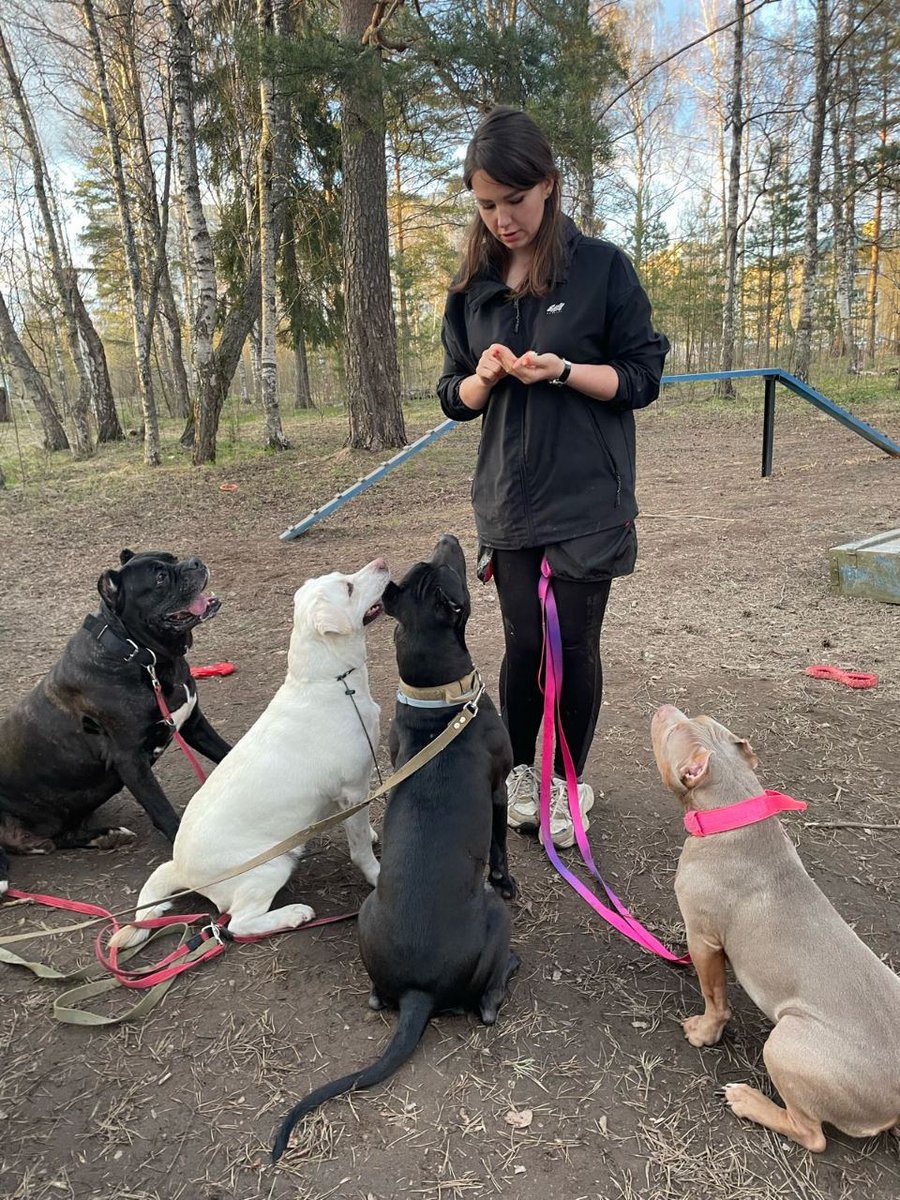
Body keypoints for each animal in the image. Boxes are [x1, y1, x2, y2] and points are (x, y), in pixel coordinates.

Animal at [0, 549, 232, 892]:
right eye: (160, 577)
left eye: (173, 558)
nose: (195, 562)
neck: (140, 656)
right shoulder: (130, 761)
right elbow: (162, 809)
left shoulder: (193, 724)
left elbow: (229, 752)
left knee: (58, 838)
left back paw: (107, 836)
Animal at [111, 559, 388, 945]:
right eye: (349, 587)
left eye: (344, 578)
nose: (382, 564)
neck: (331, 680)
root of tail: (179, 868)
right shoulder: (352, 789)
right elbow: (359, 846)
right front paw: (376, 875)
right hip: (270, 867)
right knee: (238, 924)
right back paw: (293, 914)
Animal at [657, 700, 900, 1152]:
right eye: (694, 721)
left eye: (672, 733)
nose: (665, 706)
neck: (733, 812)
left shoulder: (704, 939)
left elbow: (714, 997)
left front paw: (704, 1032)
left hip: (788, 1041)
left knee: (811, 1133)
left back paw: (747, 1100)